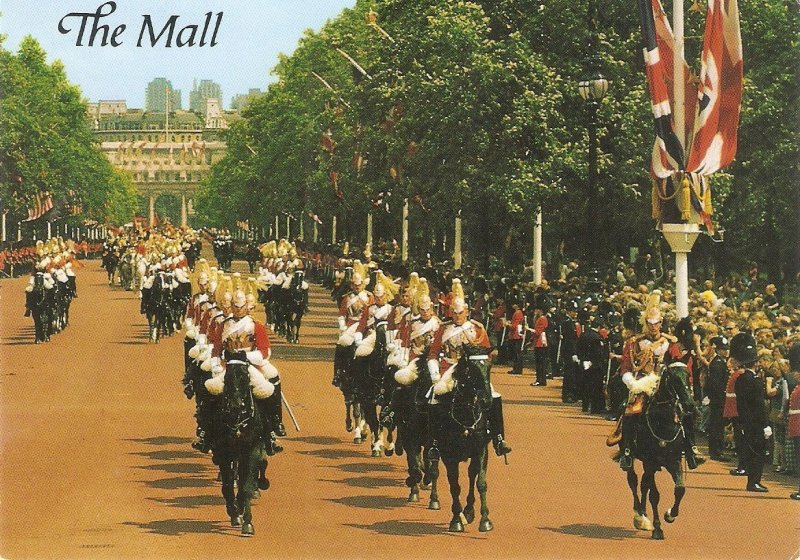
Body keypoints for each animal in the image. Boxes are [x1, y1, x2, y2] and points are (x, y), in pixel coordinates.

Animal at [432, 346, 494, 532]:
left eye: (489, 367)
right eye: (471, 369)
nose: (487, 400)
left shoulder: (481, 449)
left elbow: (481, 482)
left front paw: (485, 520)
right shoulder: (448, 455)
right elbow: (455, 486)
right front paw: (456, 520)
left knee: (472, 474)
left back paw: (468, 511)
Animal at [624, 364, 692, 540]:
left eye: (688, 376)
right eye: (674, 379)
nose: (690, 404)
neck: (663, 421)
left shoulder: (674, 461)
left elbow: (680, 489)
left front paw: (670, 514)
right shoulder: (650, 461)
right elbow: (654, 495)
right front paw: (657, 528)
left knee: (643, 484)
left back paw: (643, 514)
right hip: (633, 459)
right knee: (633, 481)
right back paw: (639, 516)